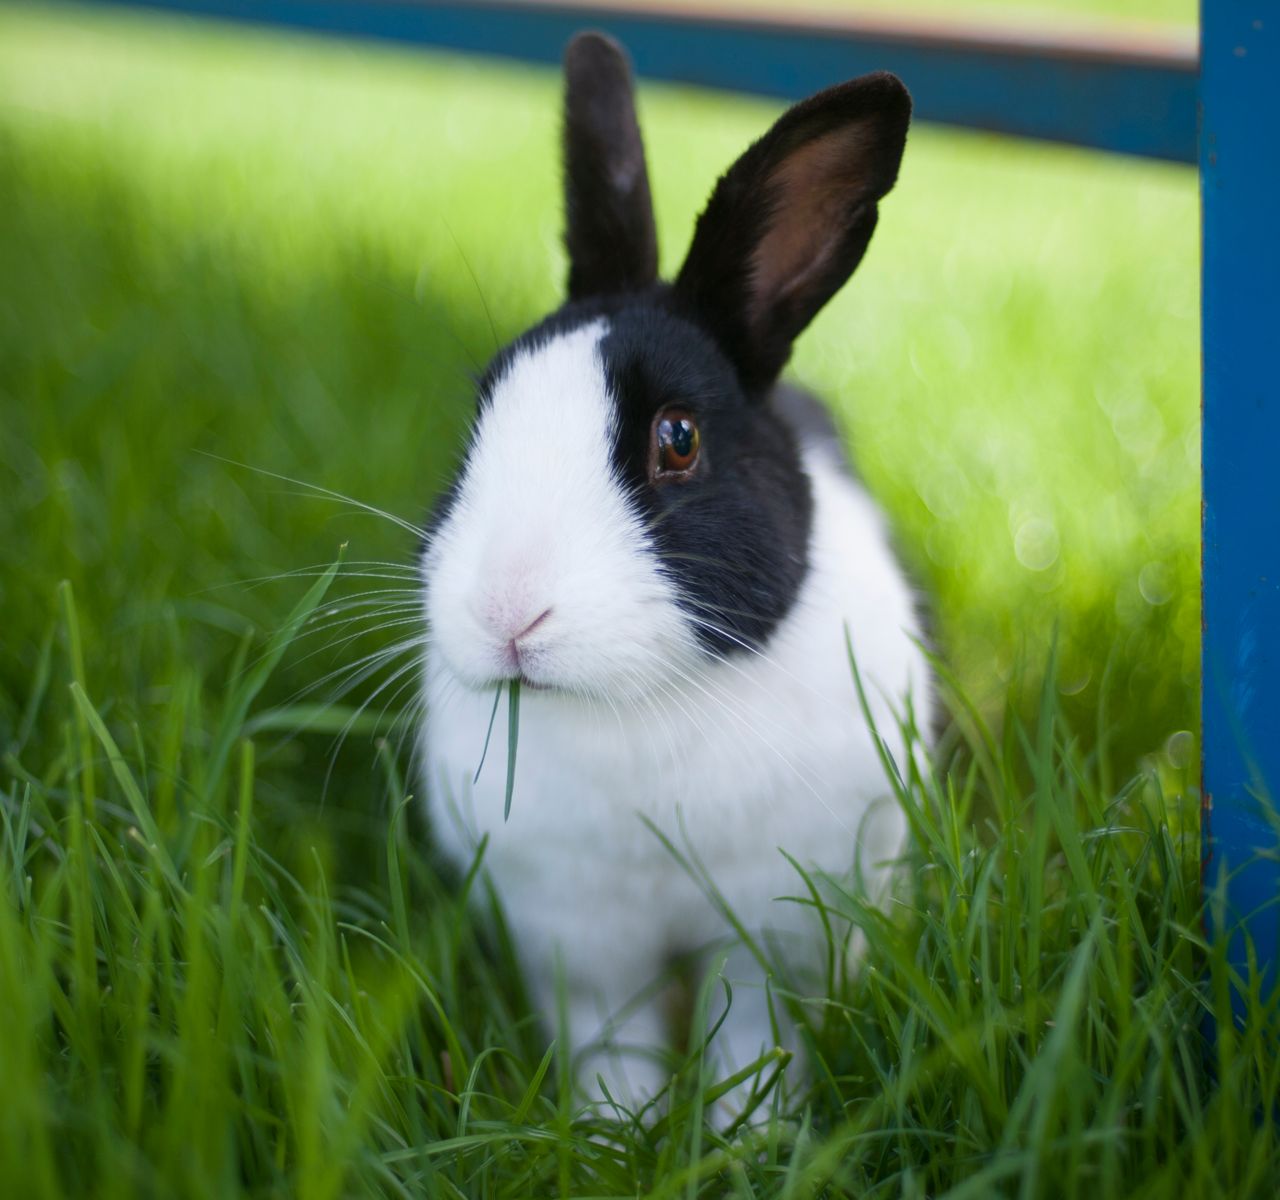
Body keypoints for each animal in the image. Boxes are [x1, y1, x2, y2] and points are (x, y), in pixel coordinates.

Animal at [419, 35, 931, 1115]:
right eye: (481, 412)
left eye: (678, 439)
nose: (506, 612)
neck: (638, 706)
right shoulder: (581, 948)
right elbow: (613, 1055)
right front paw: (617, 1134)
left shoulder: (773, 941)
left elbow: (753, 1052)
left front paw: (751, 1139)